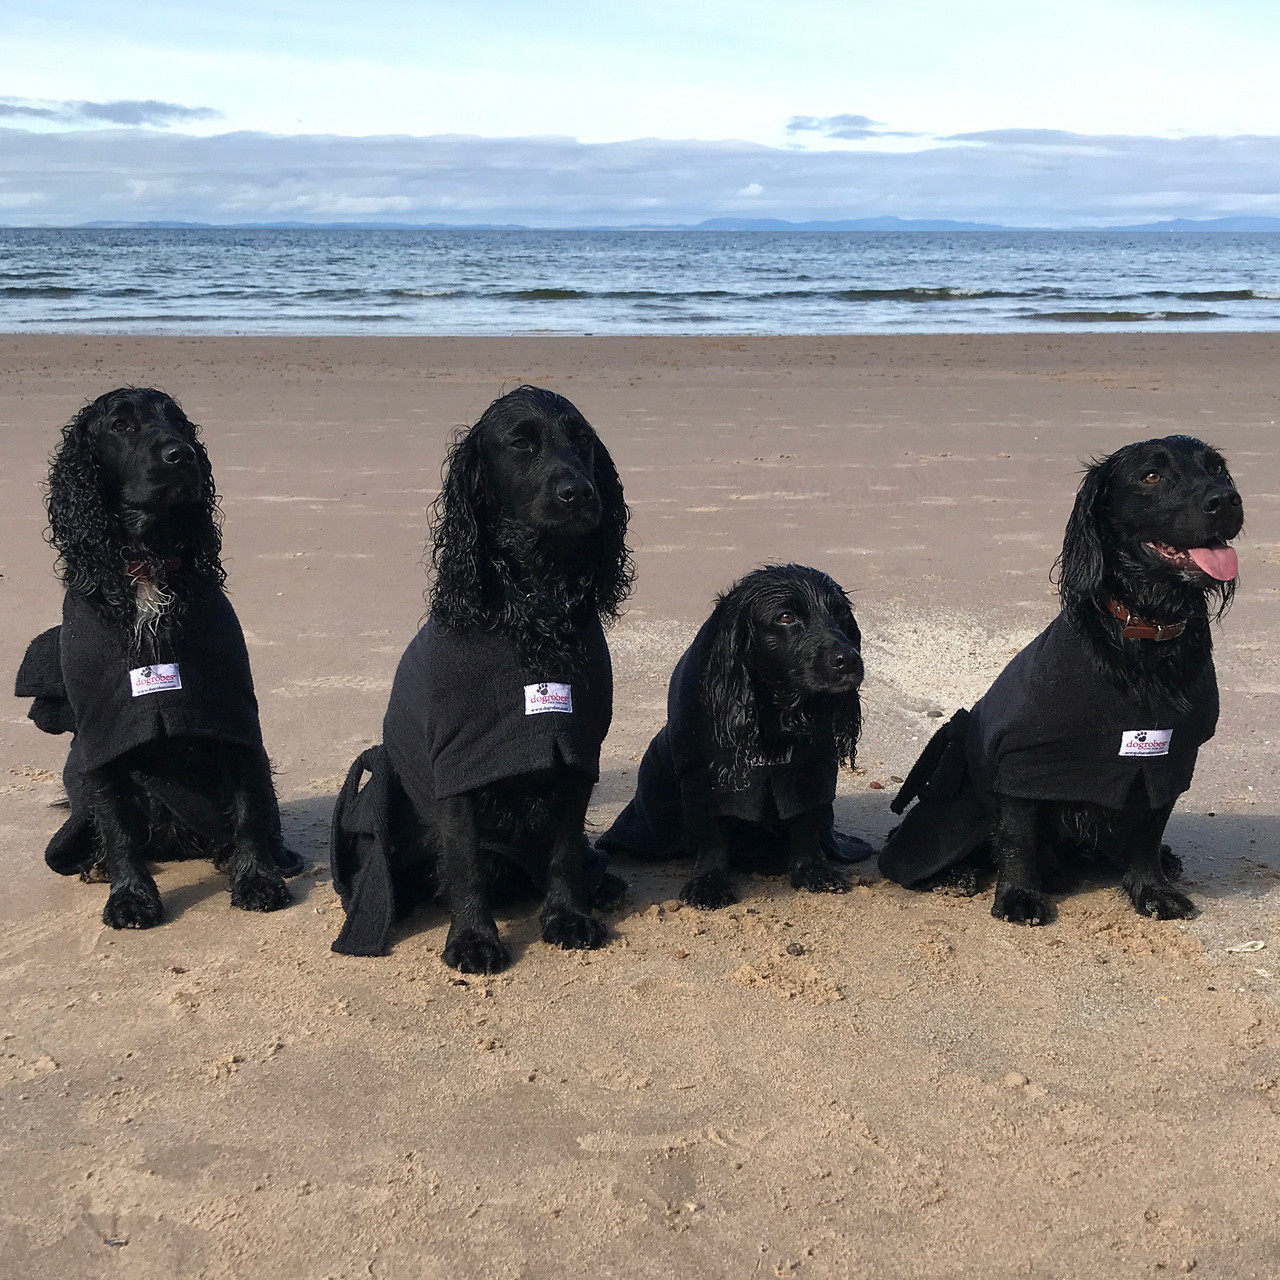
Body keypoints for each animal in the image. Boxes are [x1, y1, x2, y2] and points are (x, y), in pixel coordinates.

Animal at [14, 387, 299, 929]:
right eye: (120, 425)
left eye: (179, 423)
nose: (181, 455)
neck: (147, 568)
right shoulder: (102, 734)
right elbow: (117, 823)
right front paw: (130, 896)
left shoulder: (229, 716)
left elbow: (248, 805)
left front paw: (257, 878)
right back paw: (98, 866)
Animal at [329, 385, 633, 972]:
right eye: (521, 443)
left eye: (582, 440)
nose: (579, 494)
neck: (532, 615)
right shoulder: (457, 764)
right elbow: (465, 859)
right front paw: (473, 940)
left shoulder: (576, 753)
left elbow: (565, 849)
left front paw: (568, 917)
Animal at [599, 564, 871, 909]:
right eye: (786, 617)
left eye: (840, 613)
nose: (849, 659)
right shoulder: (704, 774)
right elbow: (713, 829)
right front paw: (709, 883)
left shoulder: (809, 769)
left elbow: (805, 819)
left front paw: (813, 870)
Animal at [880, 435, 1242, 925]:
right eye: (1151, 475)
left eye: (1217, 468)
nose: (1226, 499)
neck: (1145, 633)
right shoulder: (1024, 760)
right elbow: (1018, 837)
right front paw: (1019, 898)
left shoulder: (1170, 756)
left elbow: (1149, 831)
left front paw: (1152, 891)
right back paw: (959, 877)